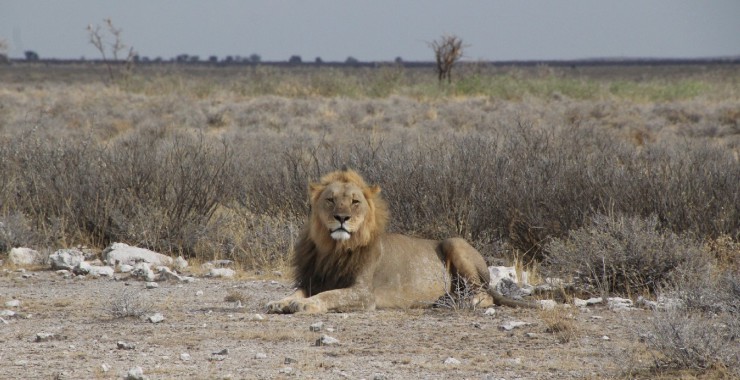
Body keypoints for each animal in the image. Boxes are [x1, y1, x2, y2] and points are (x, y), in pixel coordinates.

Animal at [268, 169, 536, 314]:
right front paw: (279, 302)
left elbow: (329, 296)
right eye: (330, 199)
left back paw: (459, 301)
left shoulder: (364, 294)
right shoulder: (314, 279)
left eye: (355, 201)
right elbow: (297, 291)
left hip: (455, 243)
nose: (342, 218)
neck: (334, 248)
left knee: (484, 294)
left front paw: (304, 305)